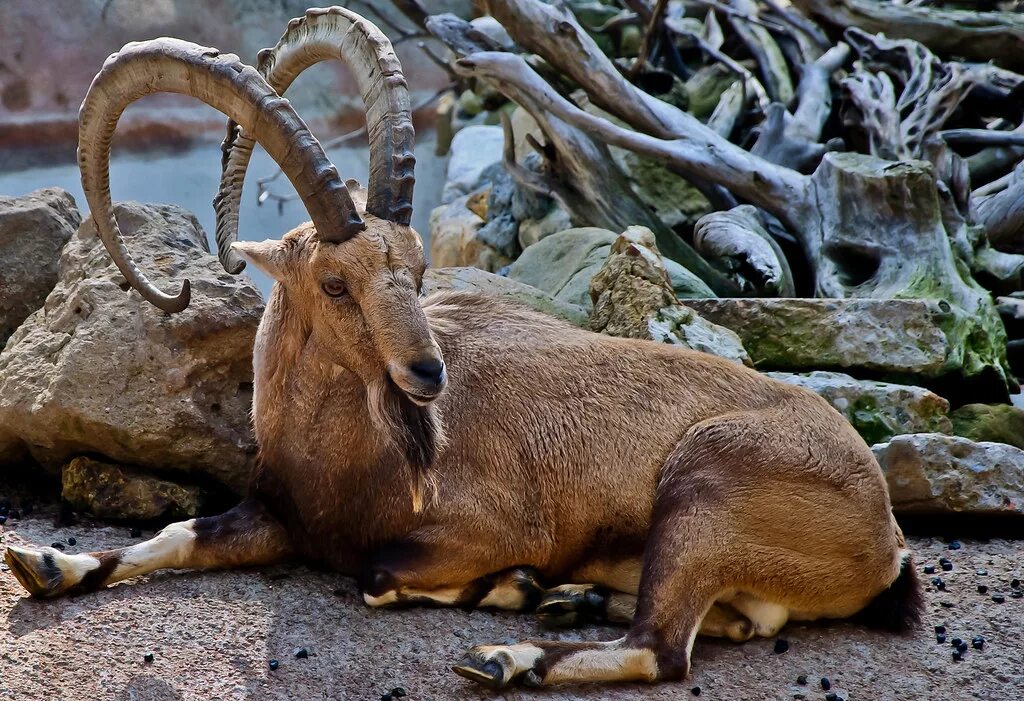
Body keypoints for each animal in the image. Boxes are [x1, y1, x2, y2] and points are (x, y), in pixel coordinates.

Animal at [4, 8, 925, 687]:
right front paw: (48, 561)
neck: (350, 459)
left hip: (701, 490)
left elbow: (378, 572)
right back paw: (574, 601)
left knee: (661, 648)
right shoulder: (279, 514)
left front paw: (511, 582)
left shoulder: (487, 523)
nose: (427, 373)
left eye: (417, 268)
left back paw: (508, 649)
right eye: (335, 283)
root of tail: (885, 533)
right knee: (721, 622)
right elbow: (177, 533)